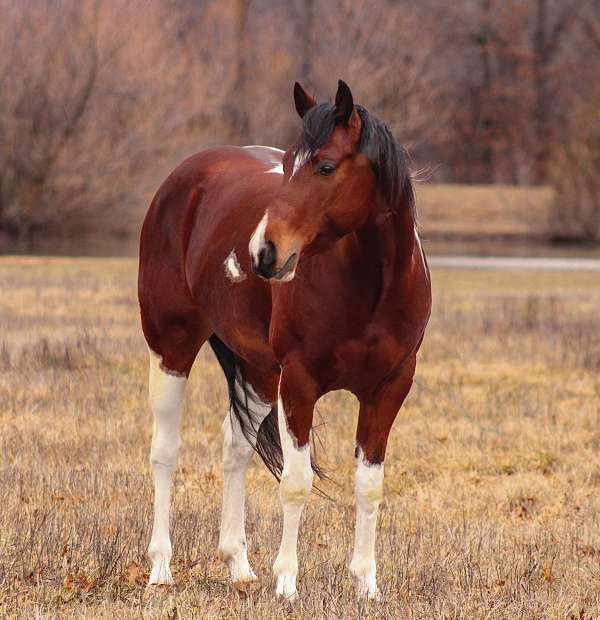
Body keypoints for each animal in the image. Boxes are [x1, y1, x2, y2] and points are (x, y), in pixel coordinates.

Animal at [138, 80, 432, 600]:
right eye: (291, 162)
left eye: (326, 166)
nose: (263, 252)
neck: (372, 289)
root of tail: (184, 179)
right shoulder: (300, 382)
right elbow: (295, 483)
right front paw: (287, 583)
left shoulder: (389, 389)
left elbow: (369, 485)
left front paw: (367, 585)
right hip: (171, 347)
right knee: (165, 451)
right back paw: (161, 568)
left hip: (257, 370)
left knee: (236, 446)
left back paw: (238, 565)